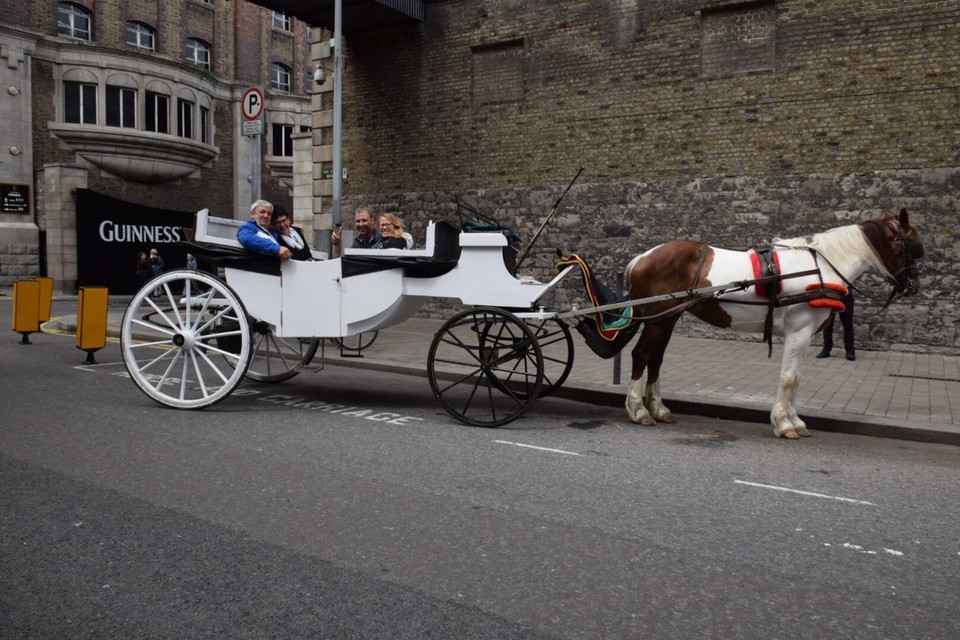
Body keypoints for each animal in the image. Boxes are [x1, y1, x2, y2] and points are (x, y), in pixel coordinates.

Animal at [568, 210, 924, 440]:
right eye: (913, 245)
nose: (914, 286)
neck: (819, 266)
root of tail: (641, 258)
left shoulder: (805, 334)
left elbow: (798, 379)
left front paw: (794, 419)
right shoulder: (798, 331)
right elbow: (789, 378)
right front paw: (783, 423)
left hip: (667, 319)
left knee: (656, 359)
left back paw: (657, 407)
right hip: (657, 318)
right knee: (641, 356)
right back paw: (637, 409)